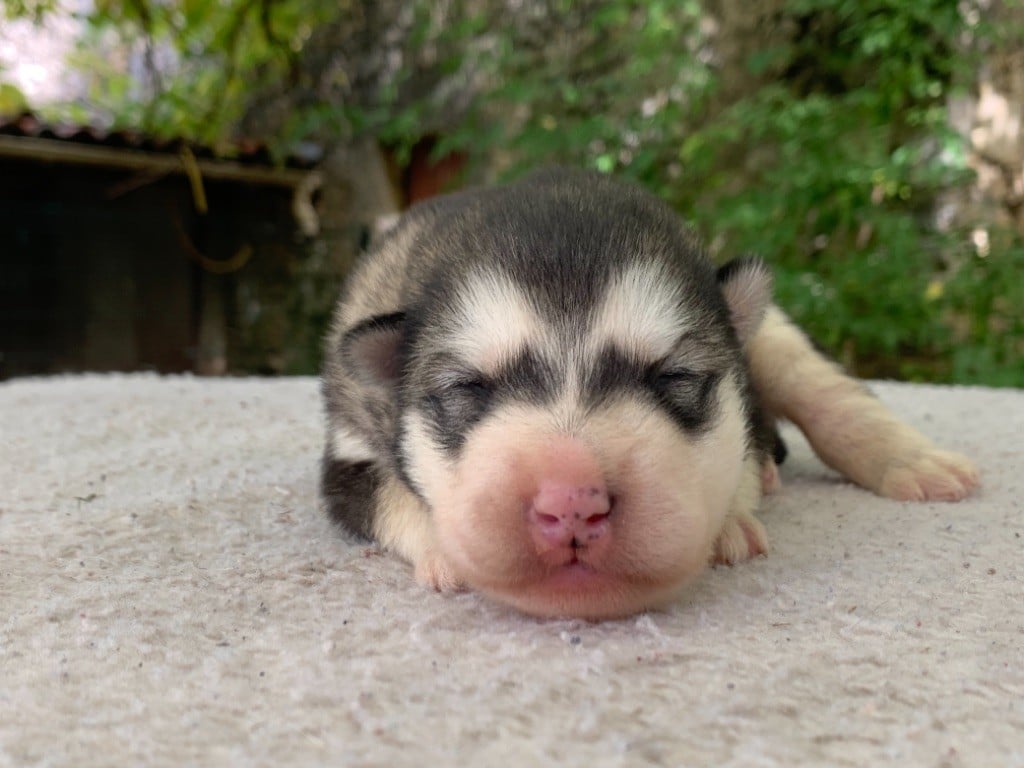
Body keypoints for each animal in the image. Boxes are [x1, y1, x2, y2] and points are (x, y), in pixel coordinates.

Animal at [319, 168, 978, 619]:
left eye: (674, 377)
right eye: (468, 387)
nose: (572, 504)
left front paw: (730, 518)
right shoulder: (349, 448)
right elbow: (386, 494)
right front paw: (444, 545)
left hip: (774, 334)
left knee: (818, 387)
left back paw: (914, 462)